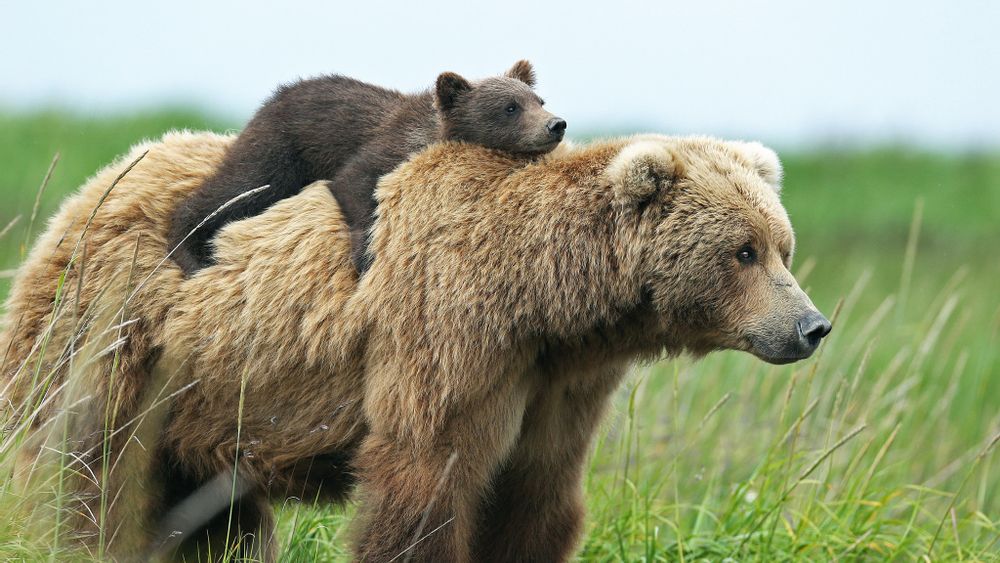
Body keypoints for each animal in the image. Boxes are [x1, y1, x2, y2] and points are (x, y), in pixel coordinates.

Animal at [0, 130, 828, 560]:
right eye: (744, 251)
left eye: (783, 245)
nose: (810, 325)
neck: (542, 301)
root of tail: (91, 187)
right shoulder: (447, 337)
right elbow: (425, 482)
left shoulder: (556, 383)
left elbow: (535, 495)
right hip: (115, 339)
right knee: (85, 473)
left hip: (205, 404)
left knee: (211, 517)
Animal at [168, 59, 568, 276]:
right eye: (510, 107)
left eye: (539, 99)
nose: (556, 124)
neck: (431, 133)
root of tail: (273, 97)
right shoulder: (384, 148)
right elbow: (355, 182)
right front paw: (365, 255)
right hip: (280, 148)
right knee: (239, 187)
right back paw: (189, 251)